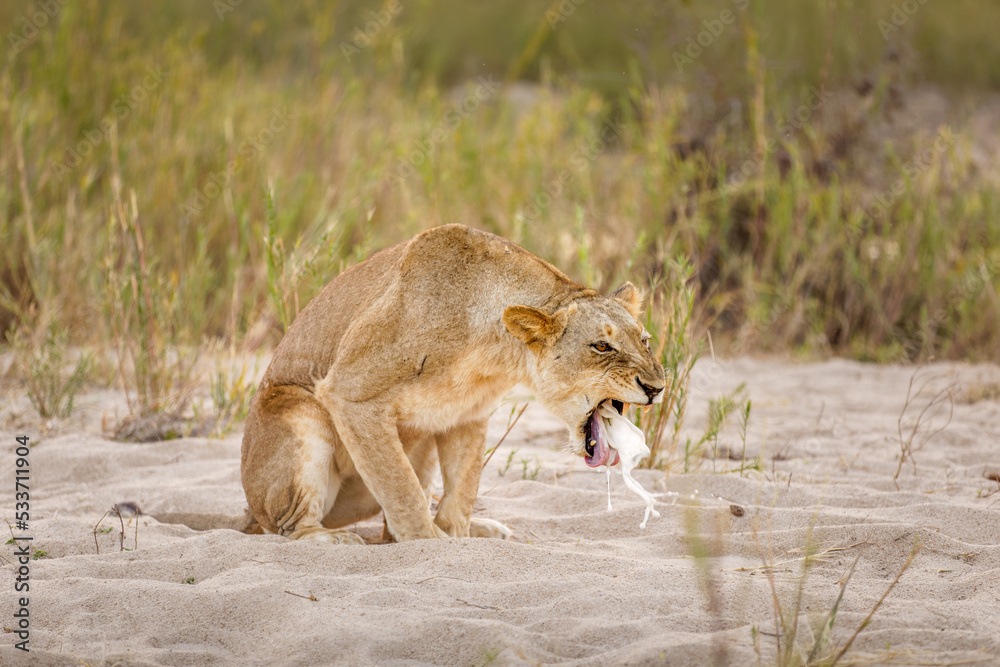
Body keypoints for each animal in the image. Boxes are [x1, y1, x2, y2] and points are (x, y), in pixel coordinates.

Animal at [241, 224, 666, 544]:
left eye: (644, 340)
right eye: (602, 346)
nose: (657, 387)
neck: (493, 352)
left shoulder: (468, 415)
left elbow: (463, 486)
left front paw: (455, 534)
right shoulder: (349, 392)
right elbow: (401, 488)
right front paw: (427, 541)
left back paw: (487, 529)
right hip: (301, 413)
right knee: (287, 527)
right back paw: (332, 538)